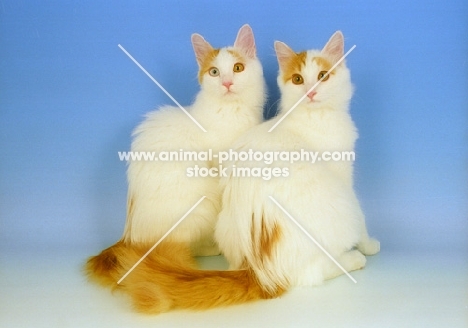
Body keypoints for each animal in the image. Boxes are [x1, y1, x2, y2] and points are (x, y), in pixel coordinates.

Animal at [85, 23, 266, 288]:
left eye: (237, 68)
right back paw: (209, 248)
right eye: (214, 72)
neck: (232, 110)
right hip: (200, 205)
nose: (227, 83)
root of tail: (129, 236)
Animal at [103, 31, 380, 316]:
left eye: (323, 75)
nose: (311, 92)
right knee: (312, 272)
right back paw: (352, 259)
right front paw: (368, 244)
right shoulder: (343, 177)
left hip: (225, 221)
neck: (315, 116)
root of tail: (259, 272)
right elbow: (362, 217)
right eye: (298, 80)